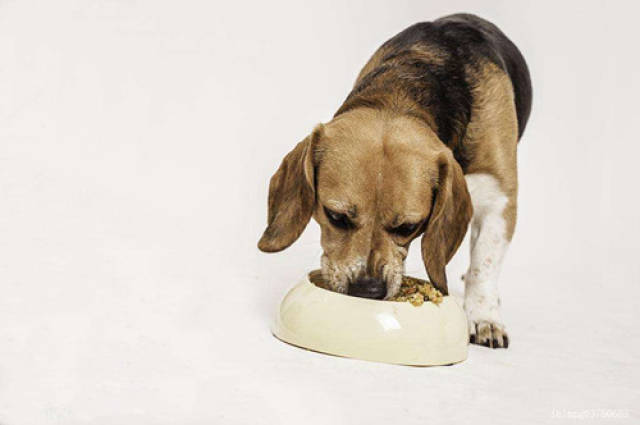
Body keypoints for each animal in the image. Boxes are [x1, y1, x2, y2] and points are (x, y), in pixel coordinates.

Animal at [258, 14, 532, 348]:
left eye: (408, 227)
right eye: (335, 216)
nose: (367, 290)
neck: (401, 97)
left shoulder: (499, 198)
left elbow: (485, 264)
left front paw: (484, 317)